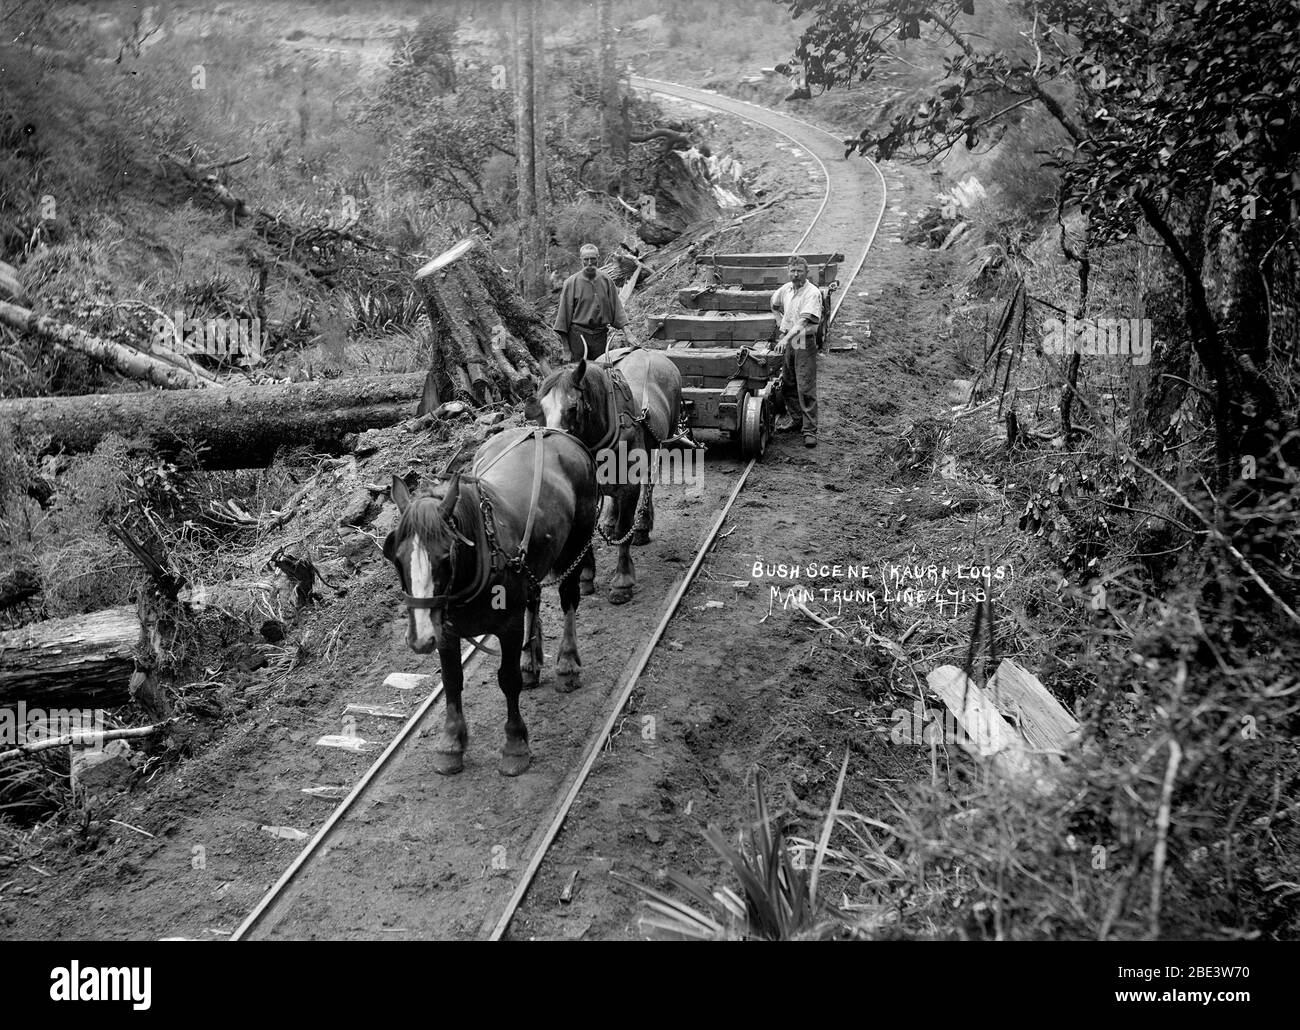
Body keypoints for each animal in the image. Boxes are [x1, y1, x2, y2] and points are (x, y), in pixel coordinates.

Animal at [379, 423, 595, 769]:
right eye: (397, 558)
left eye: (446, 556)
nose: (419, 638)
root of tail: (548, 430)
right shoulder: (445, 629)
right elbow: (452, 680)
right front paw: (451, 742)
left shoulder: (507, 626)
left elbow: (507, 679)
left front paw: (515, 744)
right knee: (533, 599)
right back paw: (531, 660)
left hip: (576, 545)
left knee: (568, 598)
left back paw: (567, 662)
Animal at [530, 348, 686, 603]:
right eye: (541, 410)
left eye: (572, 408)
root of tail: (650, 351)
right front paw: (585, 577)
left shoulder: (630, 485)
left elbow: (625, 530)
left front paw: (622, 581)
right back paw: (611, 519)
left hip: (660, 442)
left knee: (649, 483)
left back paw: (642, 525)